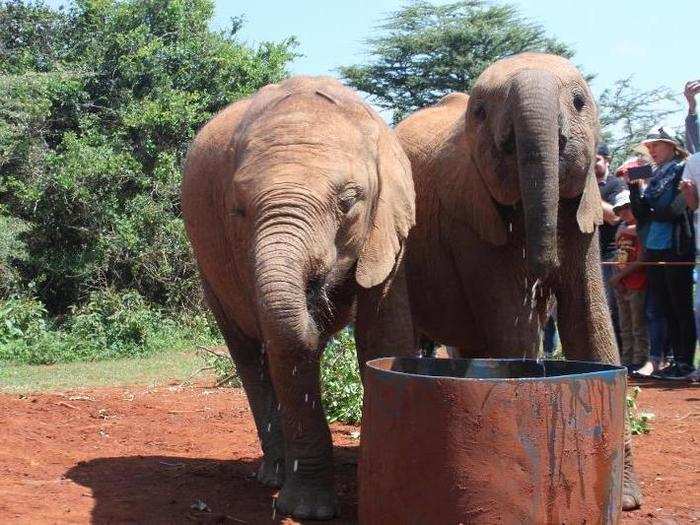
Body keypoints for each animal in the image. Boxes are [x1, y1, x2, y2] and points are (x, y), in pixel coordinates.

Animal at [180, 75, 418, 516]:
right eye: (238, 210)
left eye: (348, 201)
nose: (315, 303)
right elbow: (284, 348)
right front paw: (307, 511)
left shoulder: (389, 230)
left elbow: (381, 335)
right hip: (208, 269)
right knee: (249, 357)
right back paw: (273, 476)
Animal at [396, 55, 644, 510]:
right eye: (480, 113)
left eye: (579, 103)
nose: (542, 268)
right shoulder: (471, 221)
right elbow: (514, 327)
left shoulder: (584, 211)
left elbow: (590, 323)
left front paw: (628, 501)